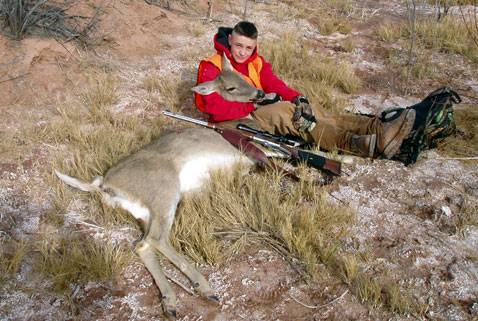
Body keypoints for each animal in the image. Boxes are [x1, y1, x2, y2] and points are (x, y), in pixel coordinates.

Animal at [55, 53, 268, 318]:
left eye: (242, 76)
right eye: (230, 87)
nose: (260, 93)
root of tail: (104, 184)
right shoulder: (259, 151)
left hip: (147, 213)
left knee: (142, 244)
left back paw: (170, 301)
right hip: (165, 191)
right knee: (157, 239)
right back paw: (204, 287)